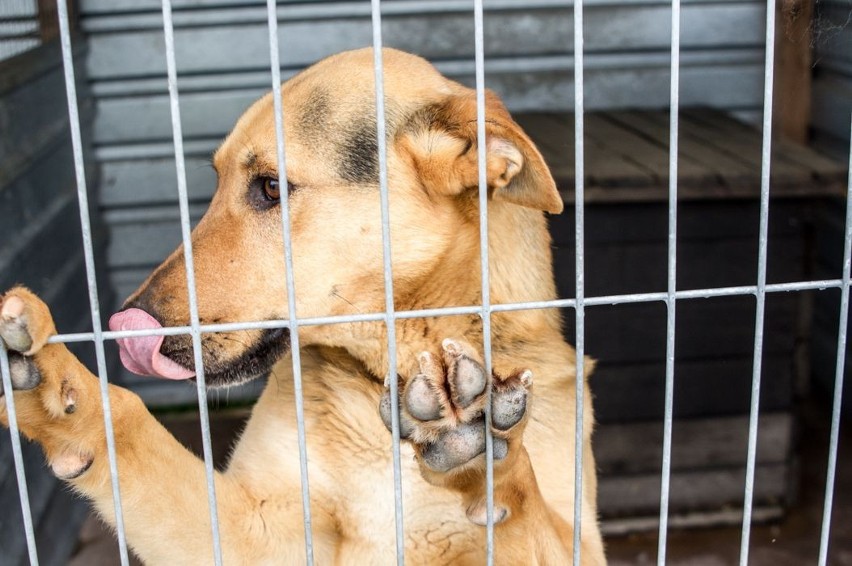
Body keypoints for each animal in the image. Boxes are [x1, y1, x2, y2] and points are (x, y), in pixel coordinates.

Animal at [3, 47, 608, 564]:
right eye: (217, 180)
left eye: (271, 187)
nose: (127, 327)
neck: (387, 374)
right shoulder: (255, 535)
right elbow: (126, 421)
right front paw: (49, 380)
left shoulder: (579, 539)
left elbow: (528, 510)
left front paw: (482, 457)